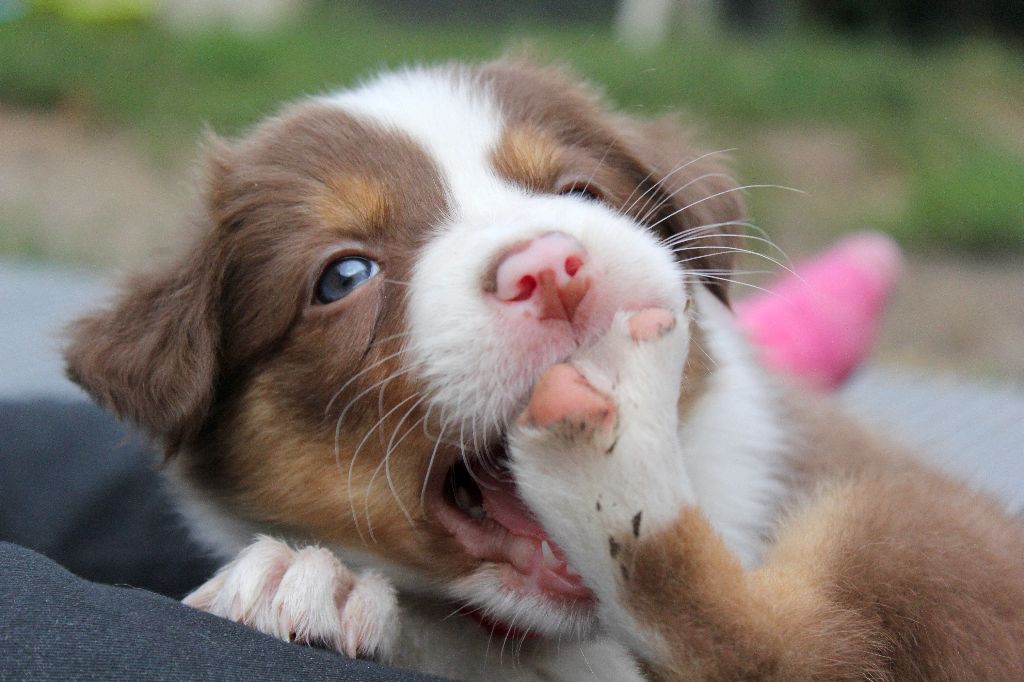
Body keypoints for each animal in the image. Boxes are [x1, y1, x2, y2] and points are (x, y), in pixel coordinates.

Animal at [65, 60, 1024, 680]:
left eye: (581, 193)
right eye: (343, 276)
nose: (555, 269)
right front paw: (311, 584)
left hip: (909, 519)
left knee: (794, 647)